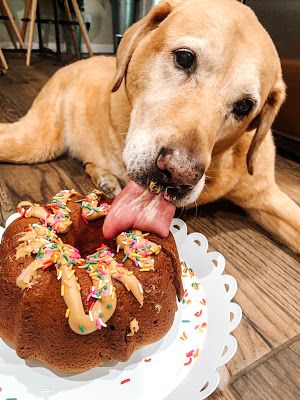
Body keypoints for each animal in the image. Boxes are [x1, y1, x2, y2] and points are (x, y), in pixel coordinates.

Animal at [0, 0, 300, 253]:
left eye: (245, 107)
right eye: (184, 58)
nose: (178, 175)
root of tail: (77, 62)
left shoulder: (267, 194)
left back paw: (106, 178)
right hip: (36, 140)